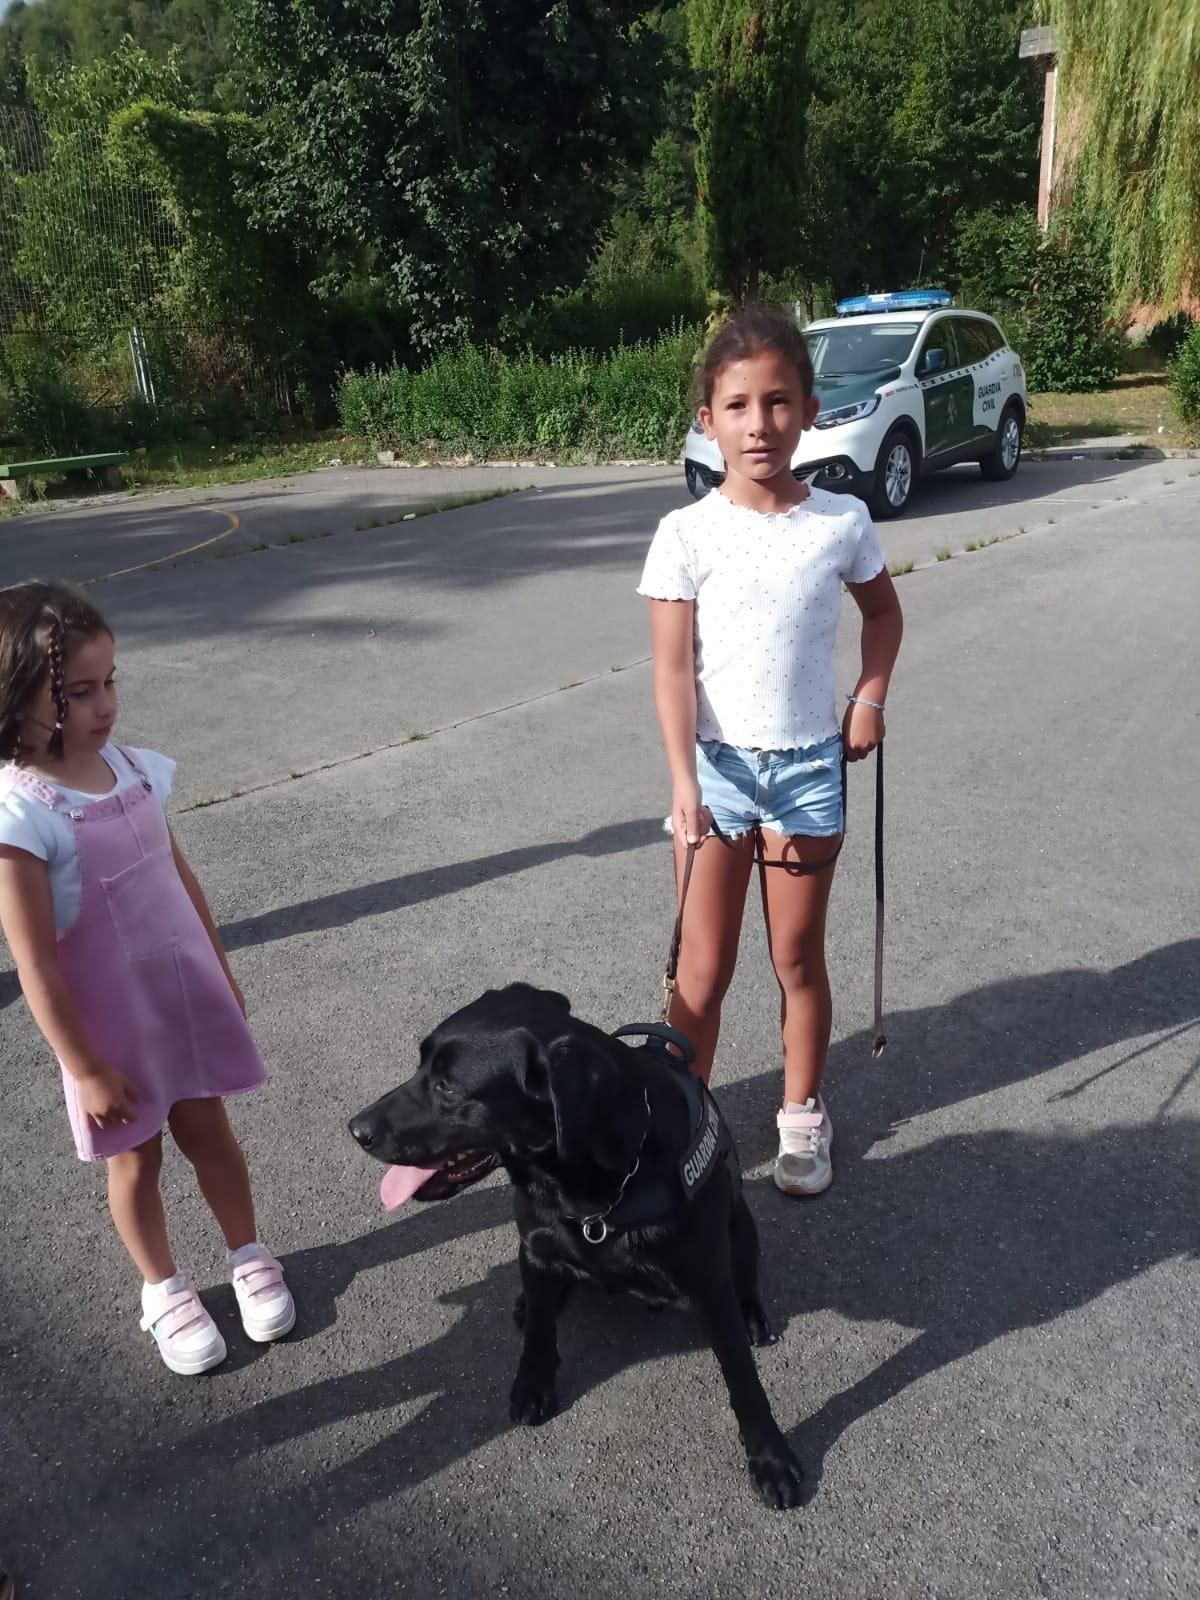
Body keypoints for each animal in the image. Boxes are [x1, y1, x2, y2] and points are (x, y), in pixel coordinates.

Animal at [352, 979, 803, 1504]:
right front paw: (533, 1383)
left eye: (447, 1086)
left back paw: (751, 1311)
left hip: (740, 1222)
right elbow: (539, 1334)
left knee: (744, 1274)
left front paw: (771, 1457)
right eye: (420, 1065)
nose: (356, 1130)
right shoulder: (534, 1244)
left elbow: (743, 1380)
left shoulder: (708, 1283)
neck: (592, 1190)